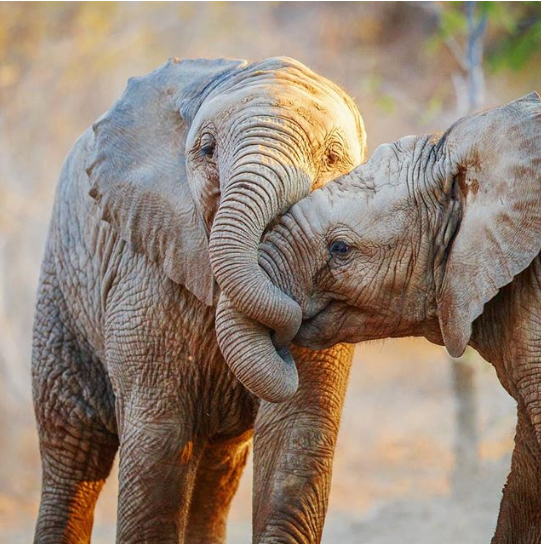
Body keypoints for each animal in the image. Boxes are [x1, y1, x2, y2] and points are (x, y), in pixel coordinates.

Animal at [31, 56, 364, 544]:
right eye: (207, 149)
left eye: (332, 158)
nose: (284, 334)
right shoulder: (146, 271)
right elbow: (160, 439)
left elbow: (296, 433)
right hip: (62, 288)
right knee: (72, 448)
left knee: (216, 471)